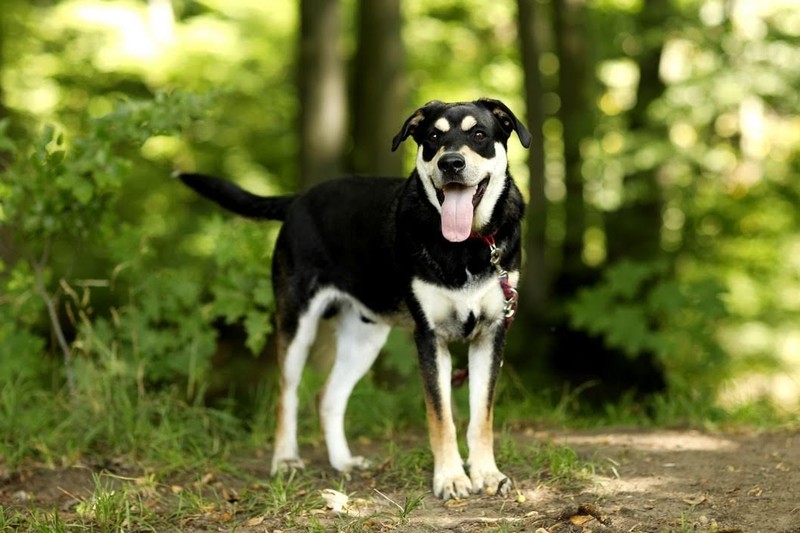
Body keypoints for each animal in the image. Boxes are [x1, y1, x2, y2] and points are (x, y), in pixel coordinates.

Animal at [180, 96, 532, 498]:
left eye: (479, 135)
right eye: (432, 137)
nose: (451, 163)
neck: (468, 246)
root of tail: (299, 199)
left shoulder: (491, 334)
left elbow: (481, 417)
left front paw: (487, 474)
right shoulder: (429, 338)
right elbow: (441, 418)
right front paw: (451, 478)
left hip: (364, 337)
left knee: (328, 397)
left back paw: (343, 462)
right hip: (296, 322)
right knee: (288, 394)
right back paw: (285, 460)